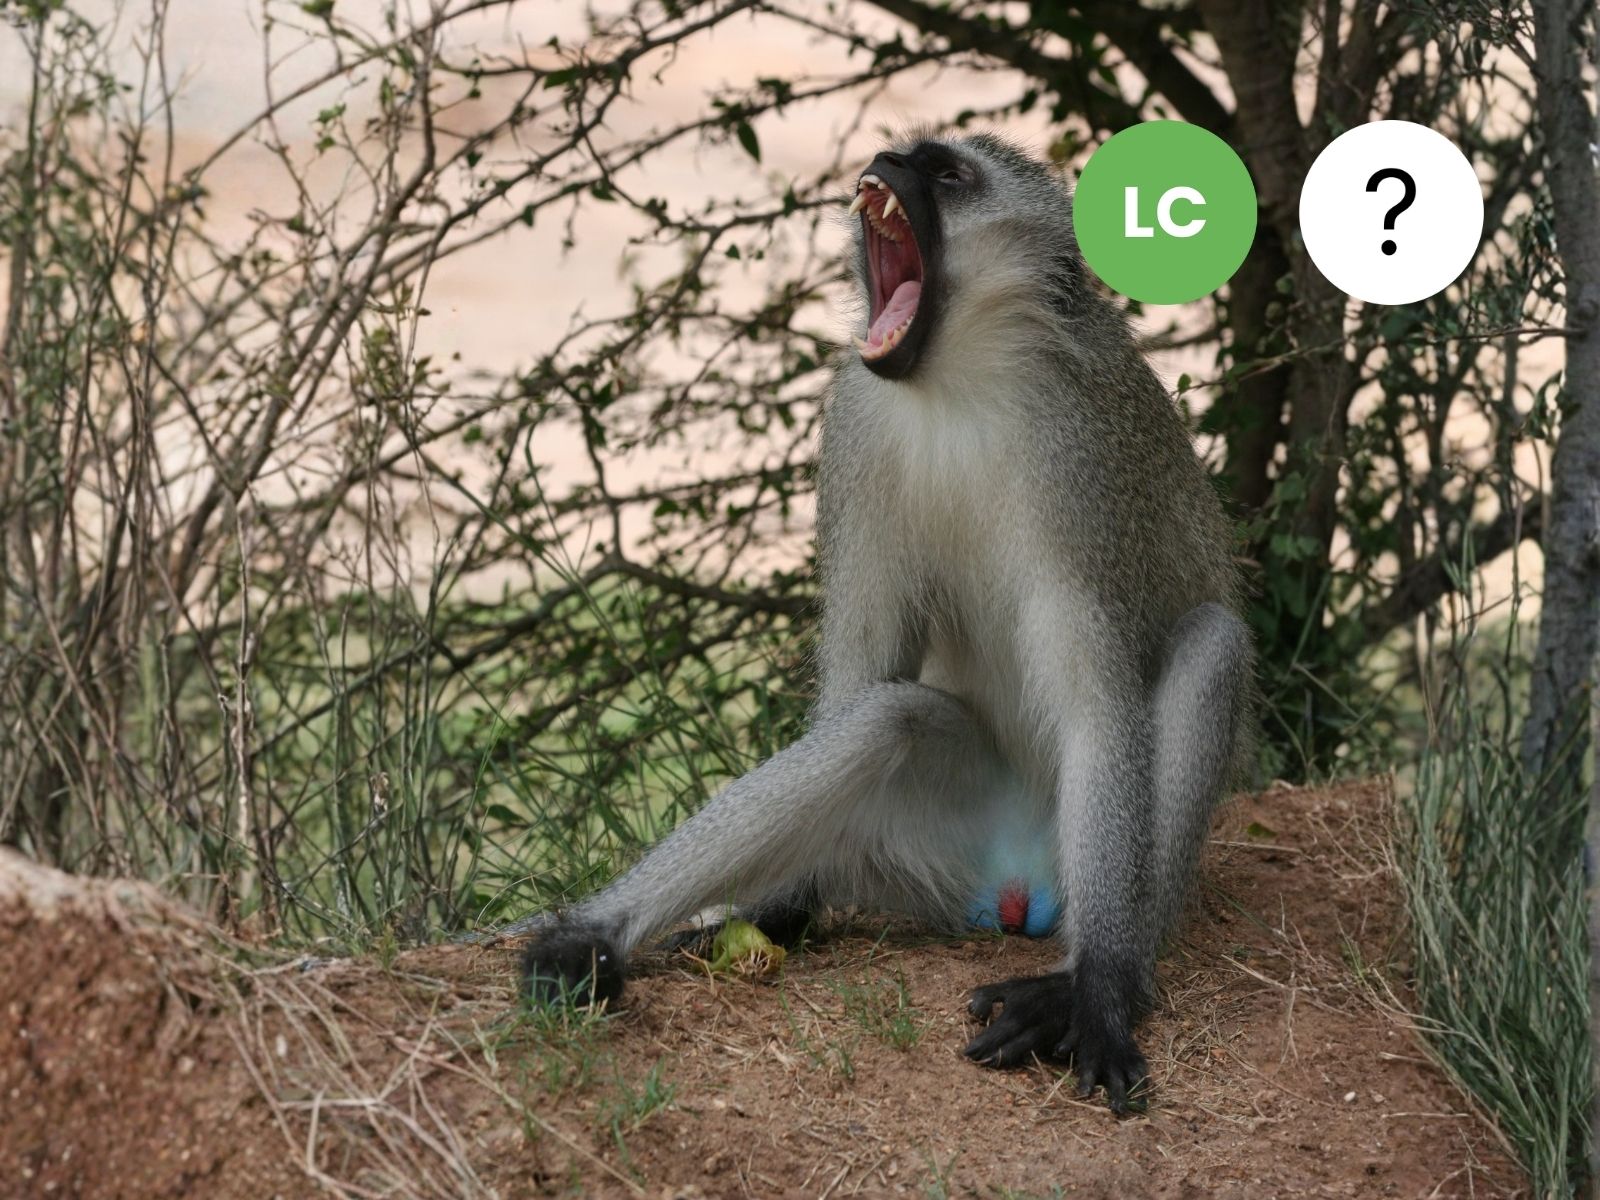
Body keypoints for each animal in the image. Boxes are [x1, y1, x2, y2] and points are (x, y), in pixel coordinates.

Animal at [514, 131, 1254, 1113]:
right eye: (906, 154)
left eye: (946, 174)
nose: (884, 163)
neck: (957, 383)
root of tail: (1020, 885)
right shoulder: (856, 424)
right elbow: (861, 681)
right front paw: (759, 909)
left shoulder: (1078, 460)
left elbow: (1099, 710)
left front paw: (1097, 994)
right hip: (932, 850)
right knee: (882, 720)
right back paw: (613, 937)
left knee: (1212, 645)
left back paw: (1103, 975)